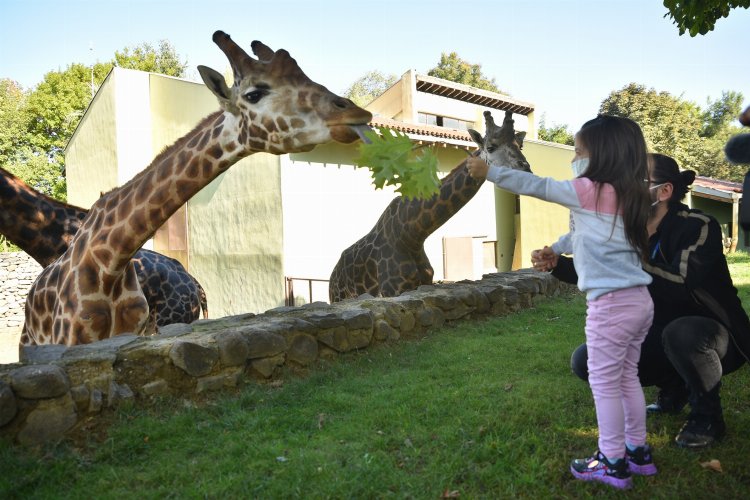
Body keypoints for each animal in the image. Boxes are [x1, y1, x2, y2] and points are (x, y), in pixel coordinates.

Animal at [332, 111, 532, 302]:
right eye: (490, 147)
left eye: (520, 145)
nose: (526, 169)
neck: (412, 235)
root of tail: (334, 274)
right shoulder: (393, 289)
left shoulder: (424, 282)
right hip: (339, 296)